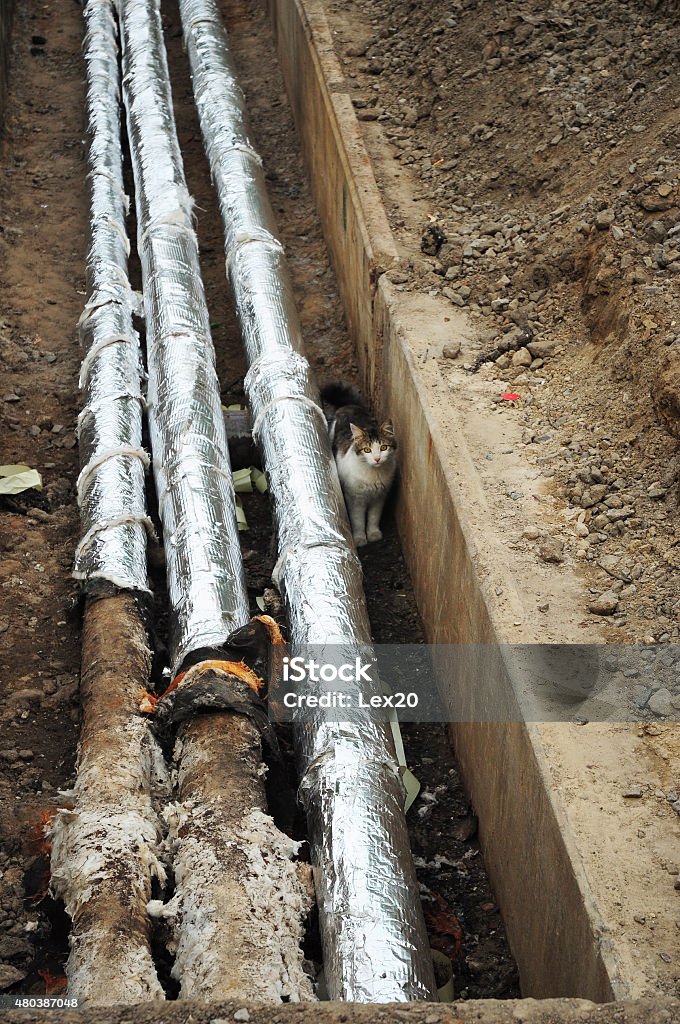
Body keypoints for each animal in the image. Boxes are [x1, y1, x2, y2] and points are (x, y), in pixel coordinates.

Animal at [319, 382, 395, 544]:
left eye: (383, 447)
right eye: (367, 450)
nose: (377, 458)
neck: (374, 474)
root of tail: (348, 406)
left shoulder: (380, 497)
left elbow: (373, 518)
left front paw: (373, 534)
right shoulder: (355, 499)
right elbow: (358, 520)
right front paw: (360, 538)